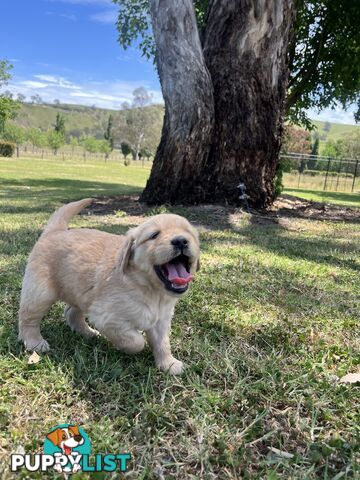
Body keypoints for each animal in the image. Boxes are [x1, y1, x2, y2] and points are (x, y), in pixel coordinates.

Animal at [18, 199, 200, 376]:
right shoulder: (108, 319)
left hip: (80, 292)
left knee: (71, 312)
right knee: (28, 318)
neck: (151, 290)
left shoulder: (161, 320)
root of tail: (56, 230)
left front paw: (169, 364)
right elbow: (136, 342)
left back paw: (88, 333)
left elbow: (162, 343)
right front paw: (130, 347)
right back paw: (35, 343)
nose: (181, 240)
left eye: (189, 233)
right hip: (40, 293)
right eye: (154, 235)